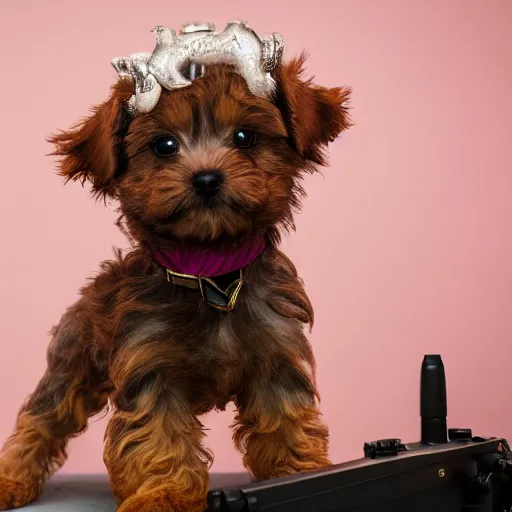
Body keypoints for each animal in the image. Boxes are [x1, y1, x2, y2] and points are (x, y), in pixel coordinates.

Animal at [0, 44, 350, 512]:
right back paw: (12, 478)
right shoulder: (150, 369)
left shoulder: (276, 360)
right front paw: (164, 494)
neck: (210, 272)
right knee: (42, 417)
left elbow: (285, 422)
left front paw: (298, 473)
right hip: (72, 363)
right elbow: (157, 436)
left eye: (245, 137)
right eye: (163, 145)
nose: (206, 178)